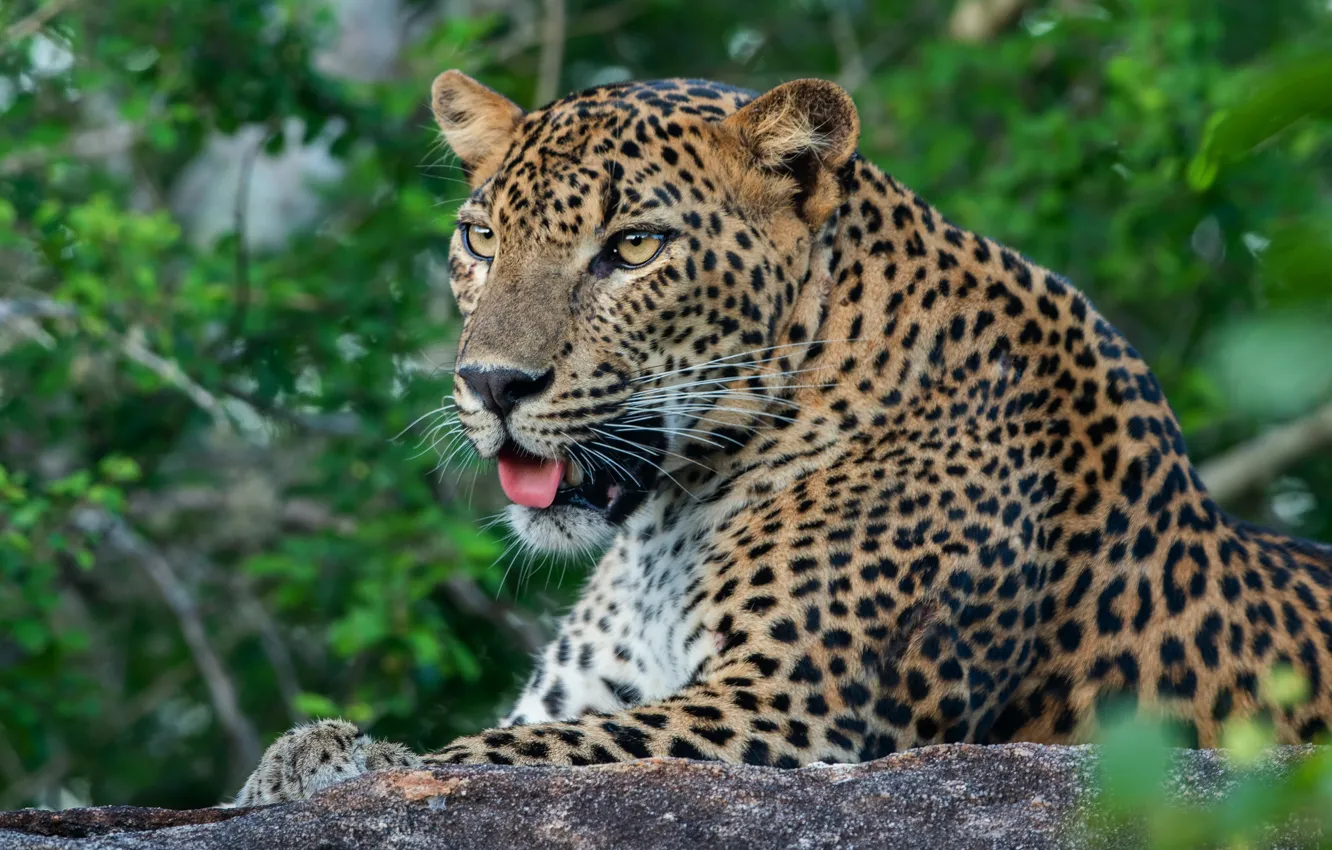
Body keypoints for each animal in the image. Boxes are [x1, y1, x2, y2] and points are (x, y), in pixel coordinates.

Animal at [235, 69, 1332, 806]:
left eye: (633, 247)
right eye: (482, 238)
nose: (492, 383)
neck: (667, 525)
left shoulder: (795, 714)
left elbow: (521, 756)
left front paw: (343, 763)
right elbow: (529, 736)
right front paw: (305, 751)